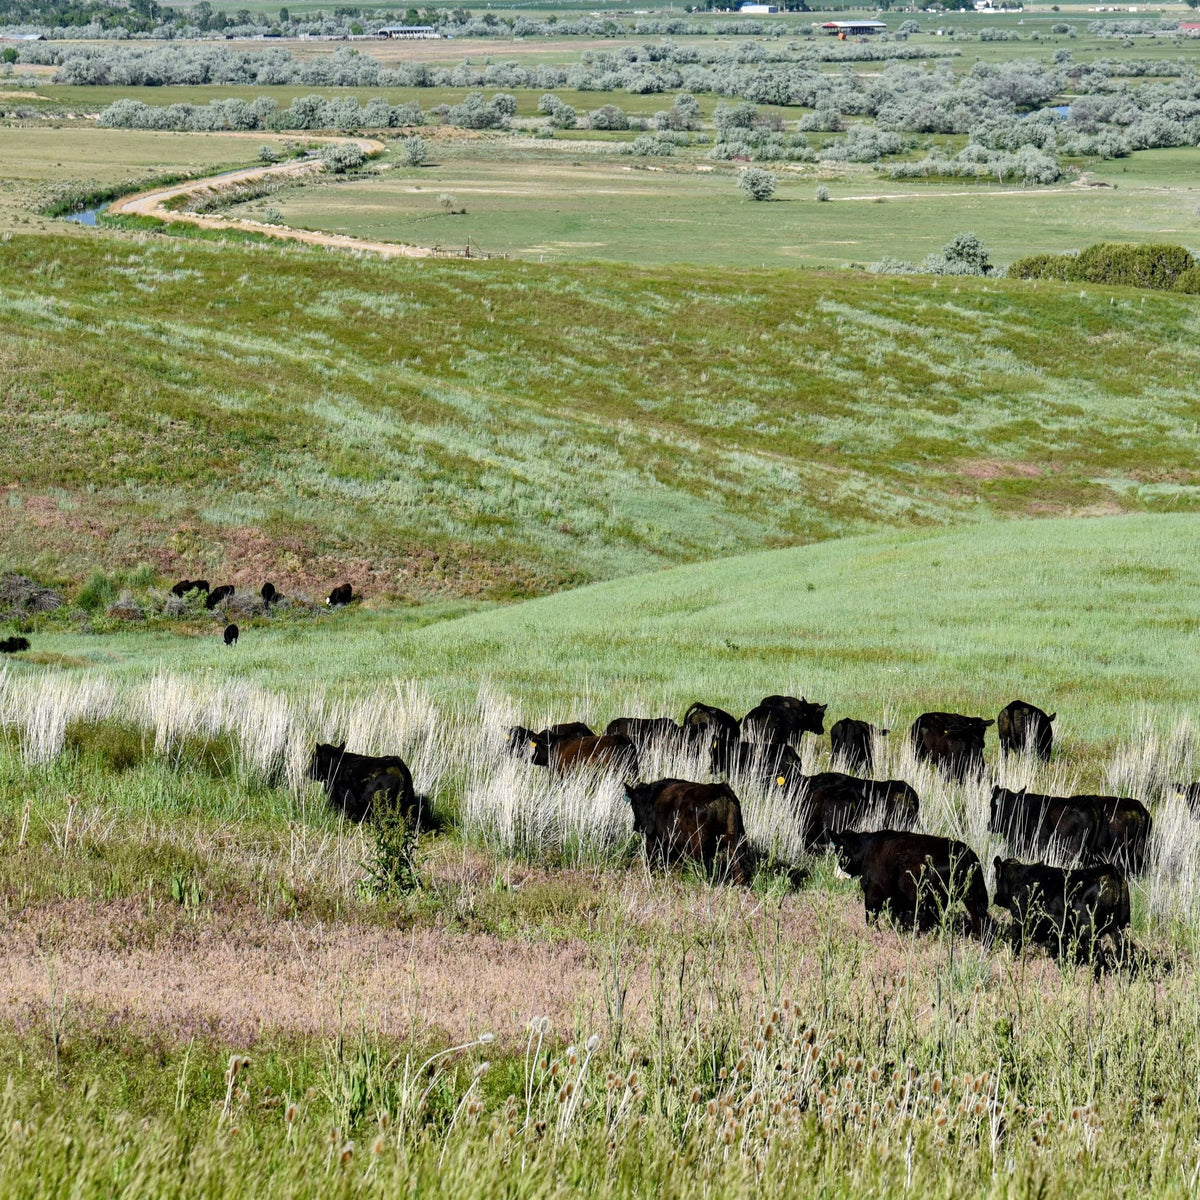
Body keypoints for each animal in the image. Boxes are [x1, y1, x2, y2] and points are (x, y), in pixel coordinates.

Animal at [830, 830, 991, 939]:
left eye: (839, 851)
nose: (835, 873)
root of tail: (967, 853)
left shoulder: (872, 894)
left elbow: (871, 918)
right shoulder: (898, 901)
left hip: (937, 900)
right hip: (973, 898)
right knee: (981, 921)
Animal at [992, 857, 1130, 965]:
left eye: (996, 878)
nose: (995, 897)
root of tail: (1111, 871)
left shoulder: (1019, 922)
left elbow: (1016, 946)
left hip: (1089, 934)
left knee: (1098, 959)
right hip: (1121, 929)